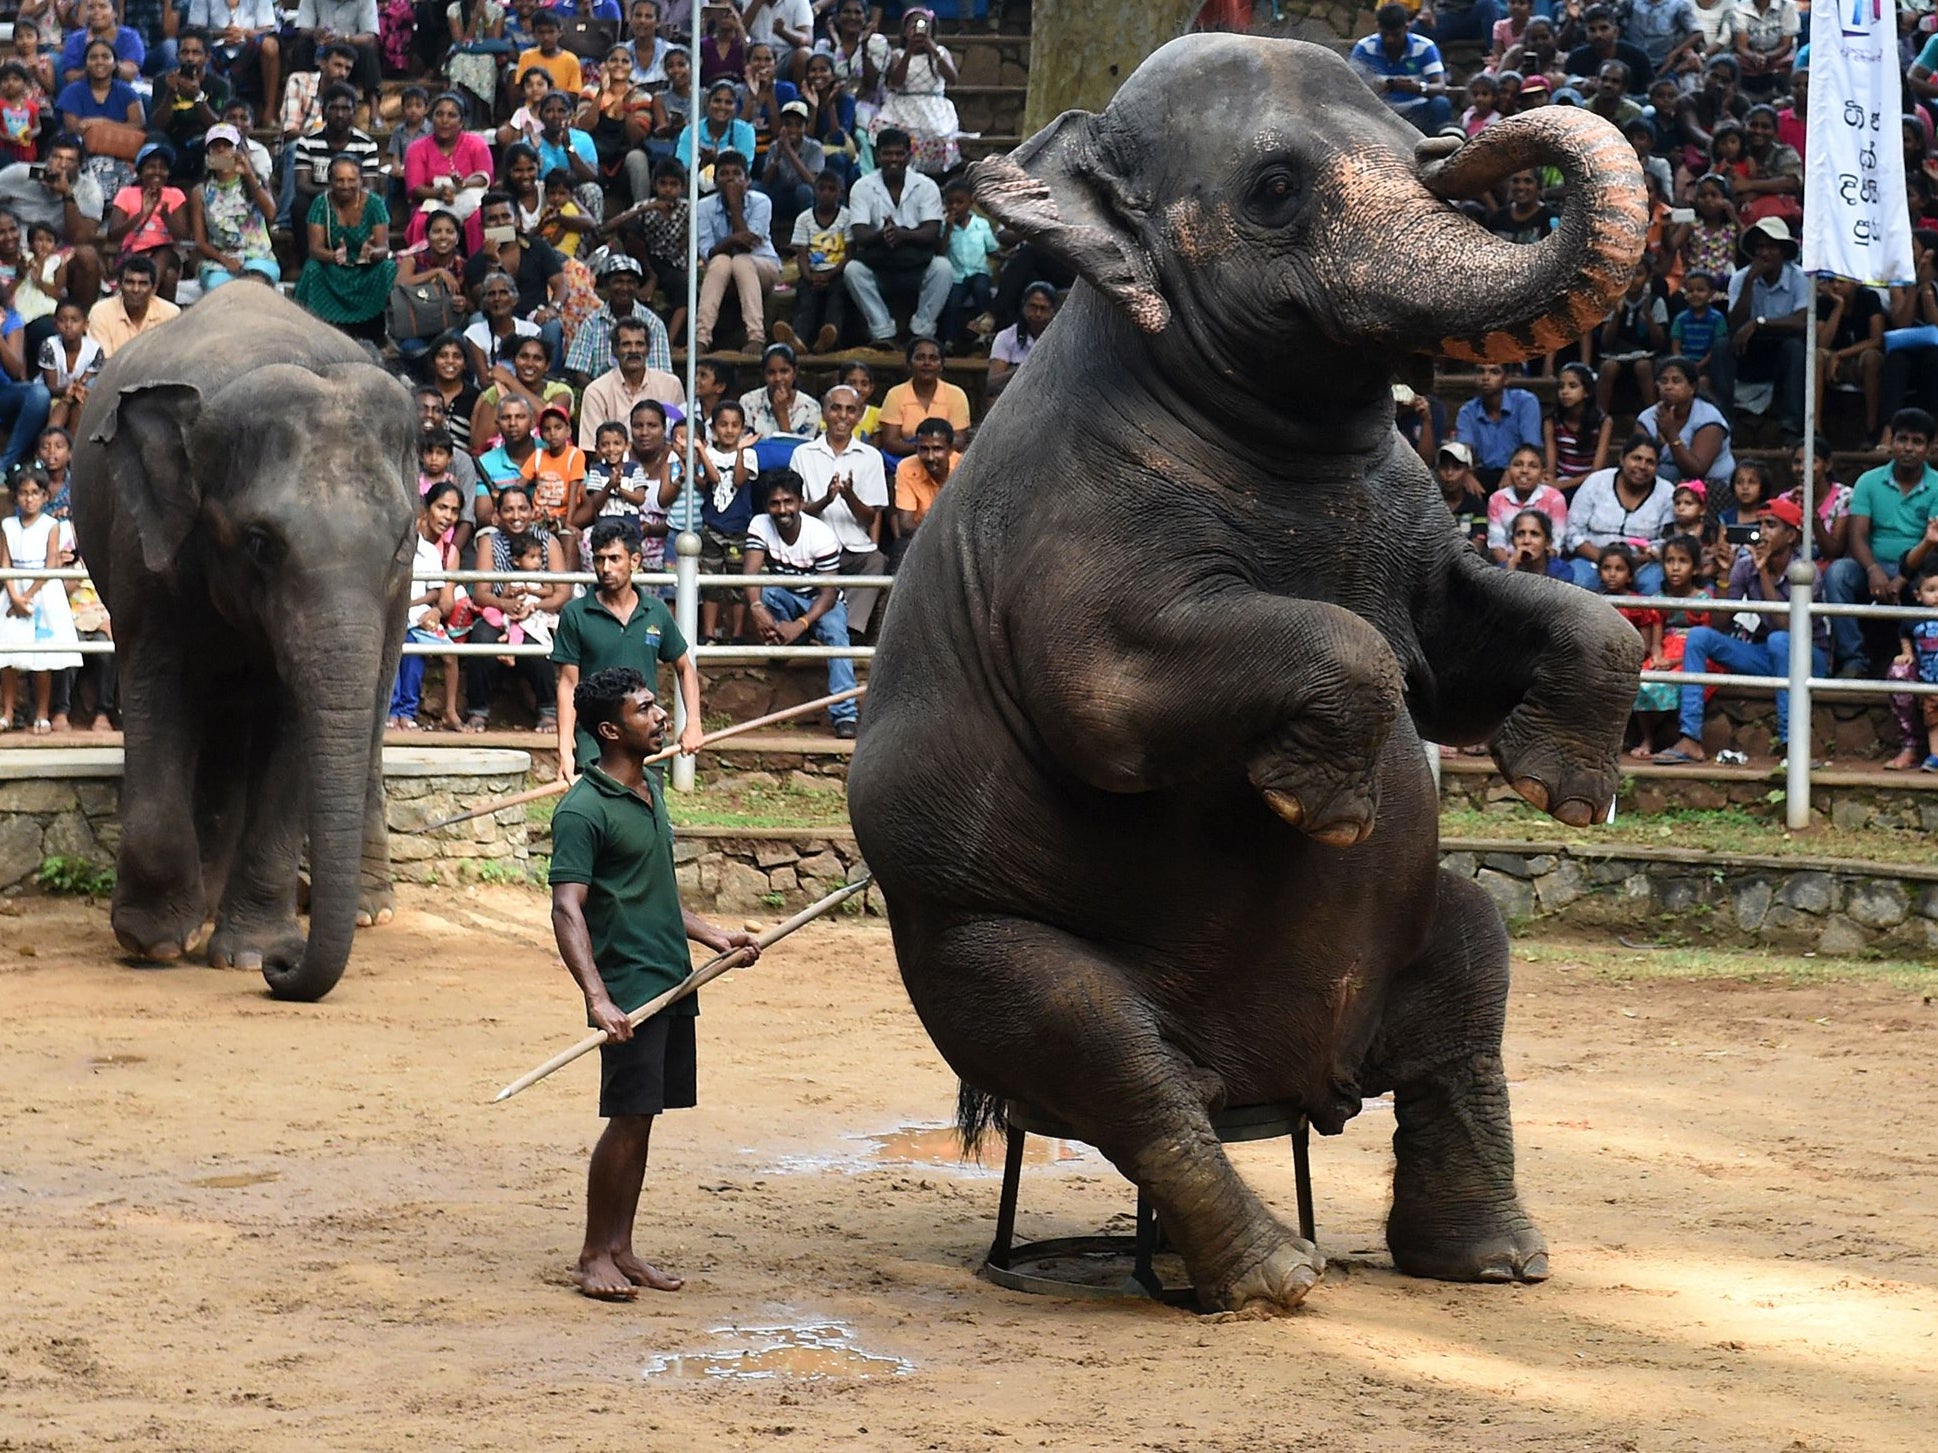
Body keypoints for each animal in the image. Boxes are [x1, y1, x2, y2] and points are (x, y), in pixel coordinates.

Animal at [70, 290, 416, 1007]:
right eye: (260, 541)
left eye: (401, 542)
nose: (284, 969)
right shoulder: (146, 549)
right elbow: (157, 687)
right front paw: (153, 942)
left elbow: (294, 730)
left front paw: (251, 951)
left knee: (365, 714)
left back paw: (371, 910)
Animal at [841, 34, 1643, 1317]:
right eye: (1275, 187)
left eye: (1418, 156)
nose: (1475, 138)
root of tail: (1280, 1086)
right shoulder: (1070, 530)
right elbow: (1109, 706)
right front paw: (1321, 806)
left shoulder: (1412, 515)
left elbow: (1461, 652)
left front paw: (1558, 790)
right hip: (979, 946)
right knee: (1106, 1049)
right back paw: (1272, 1275)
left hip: (1411, 955)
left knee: (1474, 965)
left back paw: (1492, 1261)